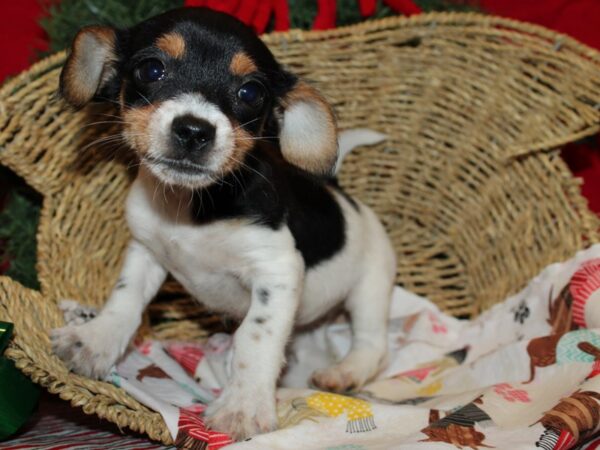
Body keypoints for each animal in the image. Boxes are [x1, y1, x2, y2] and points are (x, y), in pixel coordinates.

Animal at [52, 7, 398, 440]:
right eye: (151, 69)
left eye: (250, 93)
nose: (193, 130)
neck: (192, 209)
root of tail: (338, 189)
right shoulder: (146, 251)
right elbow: (125, 299)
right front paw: (95, 340)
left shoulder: (277, 271)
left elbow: (255, 338)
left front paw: (243, 405)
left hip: (370, 288)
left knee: (372, 345)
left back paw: (344, 372)